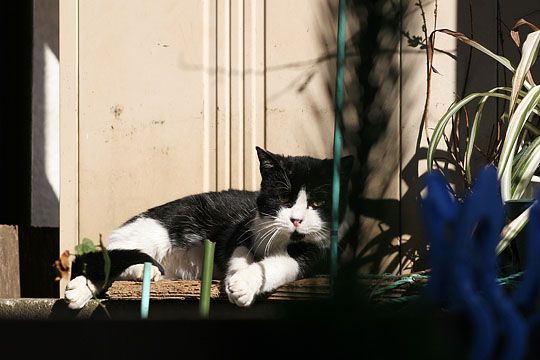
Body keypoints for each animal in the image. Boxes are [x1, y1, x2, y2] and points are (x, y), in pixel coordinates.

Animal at [64, 146, 354, 310]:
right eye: (284, 198)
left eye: (318, 203)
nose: (296, 220)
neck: (283, 240)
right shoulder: (241, 228)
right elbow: (237, 251)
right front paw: (237, 277)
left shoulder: (322, 254)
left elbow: (281, 264)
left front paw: (243, 283)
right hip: (155, 230)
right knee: (107, 255)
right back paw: (81, 288)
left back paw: (141, 272)